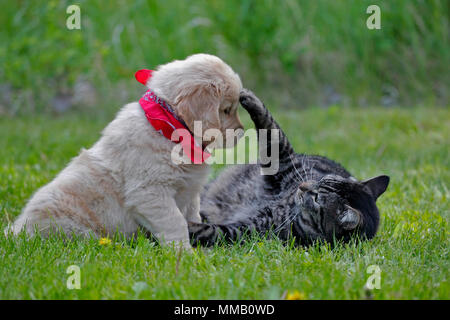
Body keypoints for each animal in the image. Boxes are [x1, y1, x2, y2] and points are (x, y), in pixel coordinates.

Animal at [7, 53, 244, 249]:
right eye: (226, 110)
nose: (242, 132)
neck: (168, 126)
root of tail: (15, 232)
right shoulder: (150, 192)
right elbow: (176, 222)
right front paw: (184, 255)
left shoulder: (190, 193)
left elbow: (193, 217)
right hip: (70, 224)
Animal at [188, 89, 388, 246]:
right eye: (323, 179)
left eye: (317, 198)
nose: (303, 186)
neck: (288, 202)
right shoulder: (283, 161)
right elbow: (271, 126)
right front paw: (247, 95)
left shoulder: (247, 229)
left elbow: (208, 230)